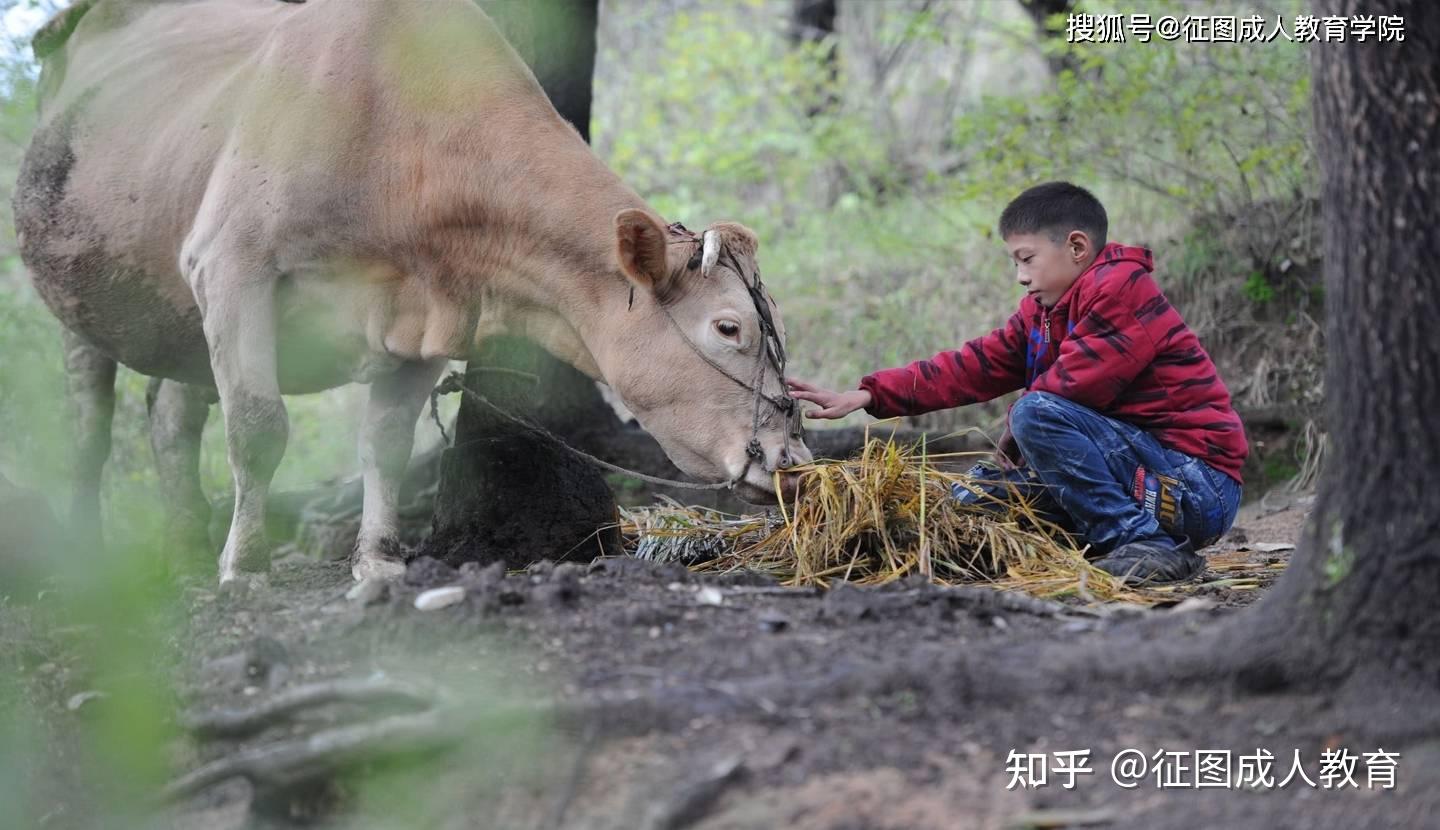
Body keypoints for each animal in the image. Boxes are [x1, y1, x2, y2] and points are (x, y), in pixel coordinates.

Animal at [14, 0, 812, 582]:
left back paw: (183, 543)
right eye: (730, 328)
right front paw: (245, 567)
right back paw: (92, 548)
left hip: (180, 314)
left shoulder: (432, 309)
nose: (793, 462)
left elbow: (386, 442)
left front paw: (377, 563)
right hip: (86, 300)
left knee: (173, 413)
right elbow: (258, 428)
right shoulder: (231, 262)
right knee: (89, 422)